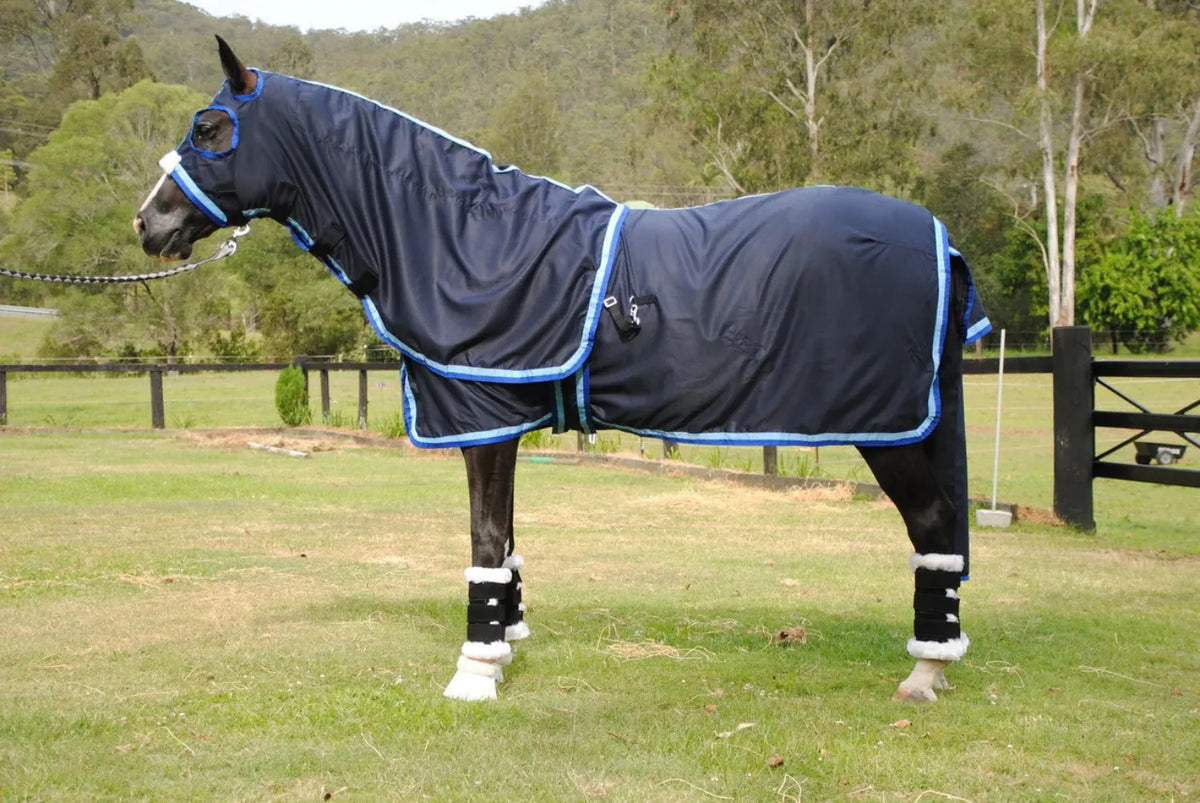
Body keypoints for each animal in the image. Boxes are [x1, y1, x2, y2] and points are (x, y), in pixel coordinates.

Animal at [134, 37, 991, 703]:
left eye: (210, 127)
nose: (148, 223)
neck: (458, 234)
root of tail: (941, 236)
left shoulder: (482, 417)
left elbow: (483, 539)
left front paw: (474, 673)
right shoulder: (504, 420)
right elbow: (505, 538)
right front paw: (506, 641)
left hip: (887, 427)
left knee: (933, 522)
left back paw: (923, 674)